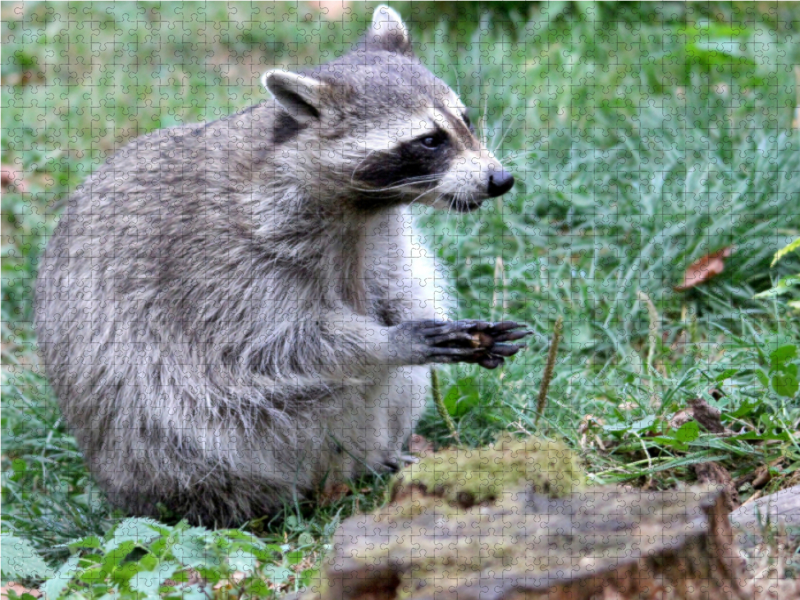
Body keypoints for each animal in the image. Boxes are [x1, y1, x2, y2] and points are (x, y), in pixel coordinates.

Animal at [36, 5, 524, 524]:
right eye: (430, 140)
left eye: (465, 119)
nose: (500, 179)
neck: (362, 211)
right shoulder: (226, 265)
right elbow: (279, 345)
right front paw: (388, 341)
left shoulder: (384, 241)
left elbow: (404, 287)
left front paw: (429, 322)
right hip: (173, 450)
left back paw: (379, 459)